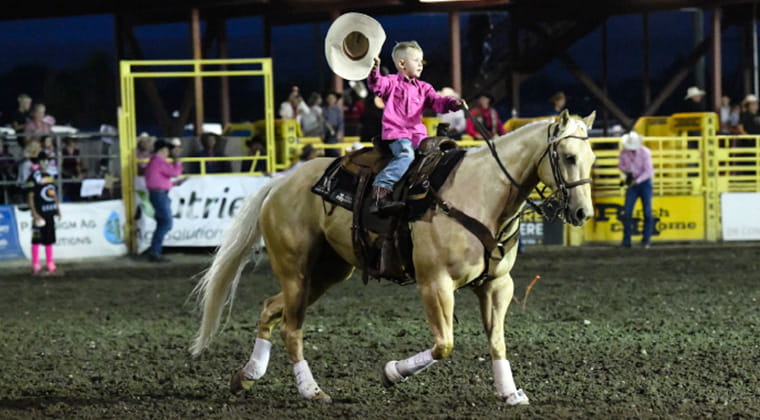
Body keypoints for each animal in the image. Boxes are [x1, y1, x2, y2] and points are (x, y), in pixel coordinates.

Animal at [190, 109, 597, 405]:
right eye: (567, 156)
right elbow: (443, 345)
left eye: (592, 159)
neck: (478, 193)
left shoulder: (498, 285)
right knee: (292, 328)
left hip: (326, 273)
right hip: (297, 272)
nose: (582, 214)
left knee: (268, 310)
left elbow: (496, 340)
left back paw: (247, 376)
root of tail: (280, 182)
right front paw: (391, 373)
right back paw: (311, 390)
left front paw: (510, 393)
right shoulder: (435, 284)